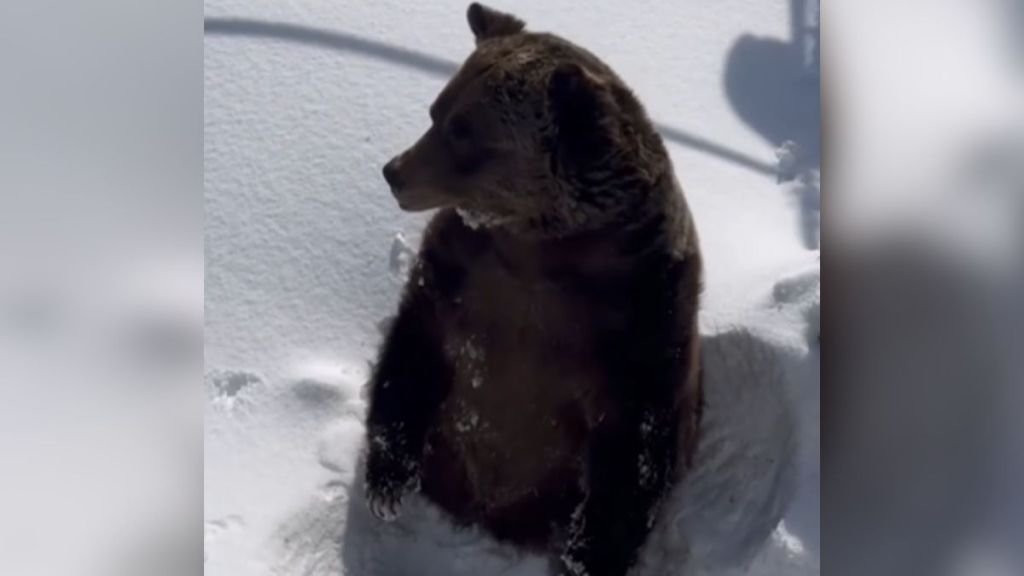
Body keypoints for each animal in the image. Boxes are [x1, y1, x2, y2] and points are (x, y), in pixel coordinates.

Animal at [360, 5, 704, 573]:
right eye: (437, 111)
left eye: (463, 131)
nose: (394, 172)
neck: (541, 248)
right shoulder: (462, 272)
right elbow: (414, 348)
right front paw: (386, 481)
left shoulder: (642, 309)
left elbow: (635, 446)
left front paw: (590, 555)